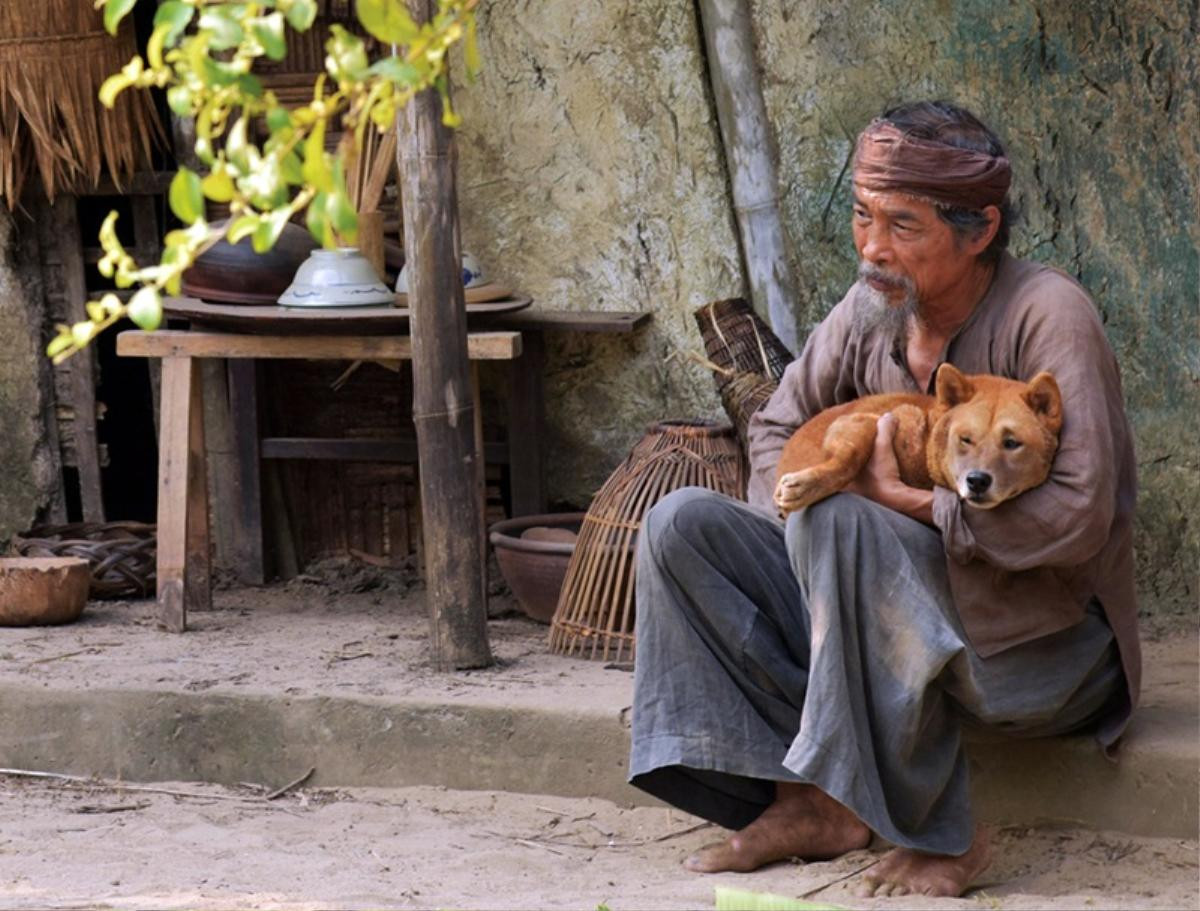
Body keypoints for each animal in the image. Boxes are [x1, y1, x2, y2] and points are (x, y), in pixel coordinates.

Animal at [777, 364, 1060, 520]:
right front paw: (806, 486)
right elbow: (849, 460)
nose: (977, 481)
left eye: (1011, 443)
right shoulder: (861, 420)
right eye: (966, 439)